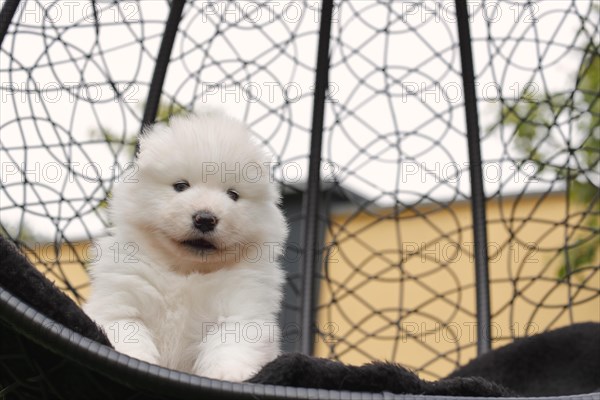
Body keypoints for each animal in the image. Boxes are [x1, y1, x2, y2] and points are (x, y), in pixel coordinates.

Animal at [84, 109, 288, 382]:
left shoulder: (241, 309)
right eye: (181, 186)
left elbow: (230, 347)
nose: (205, 218)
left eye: (232, 195)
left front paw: (228, 376)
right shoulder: (120, 300)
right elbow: (128, 334)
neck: (185, 270)